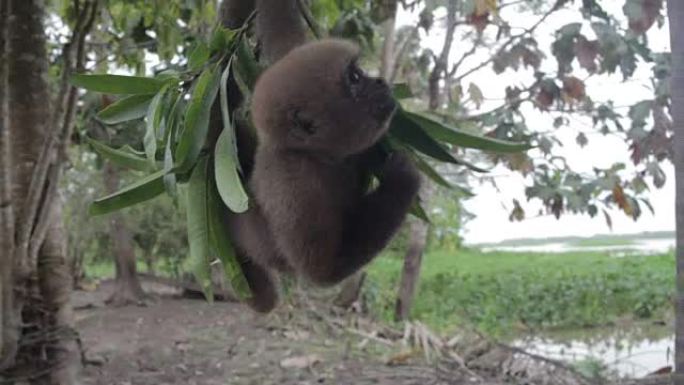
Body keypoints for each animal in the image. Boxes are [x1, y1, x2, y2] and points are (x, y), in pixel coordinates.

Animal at [228, 38, 422, 312]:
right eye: (355, 78)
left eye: (359, 72)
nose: (380, 82)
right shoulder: (297, 189)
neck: (313, 155)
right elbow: (320, 270)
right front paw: (402, 179)